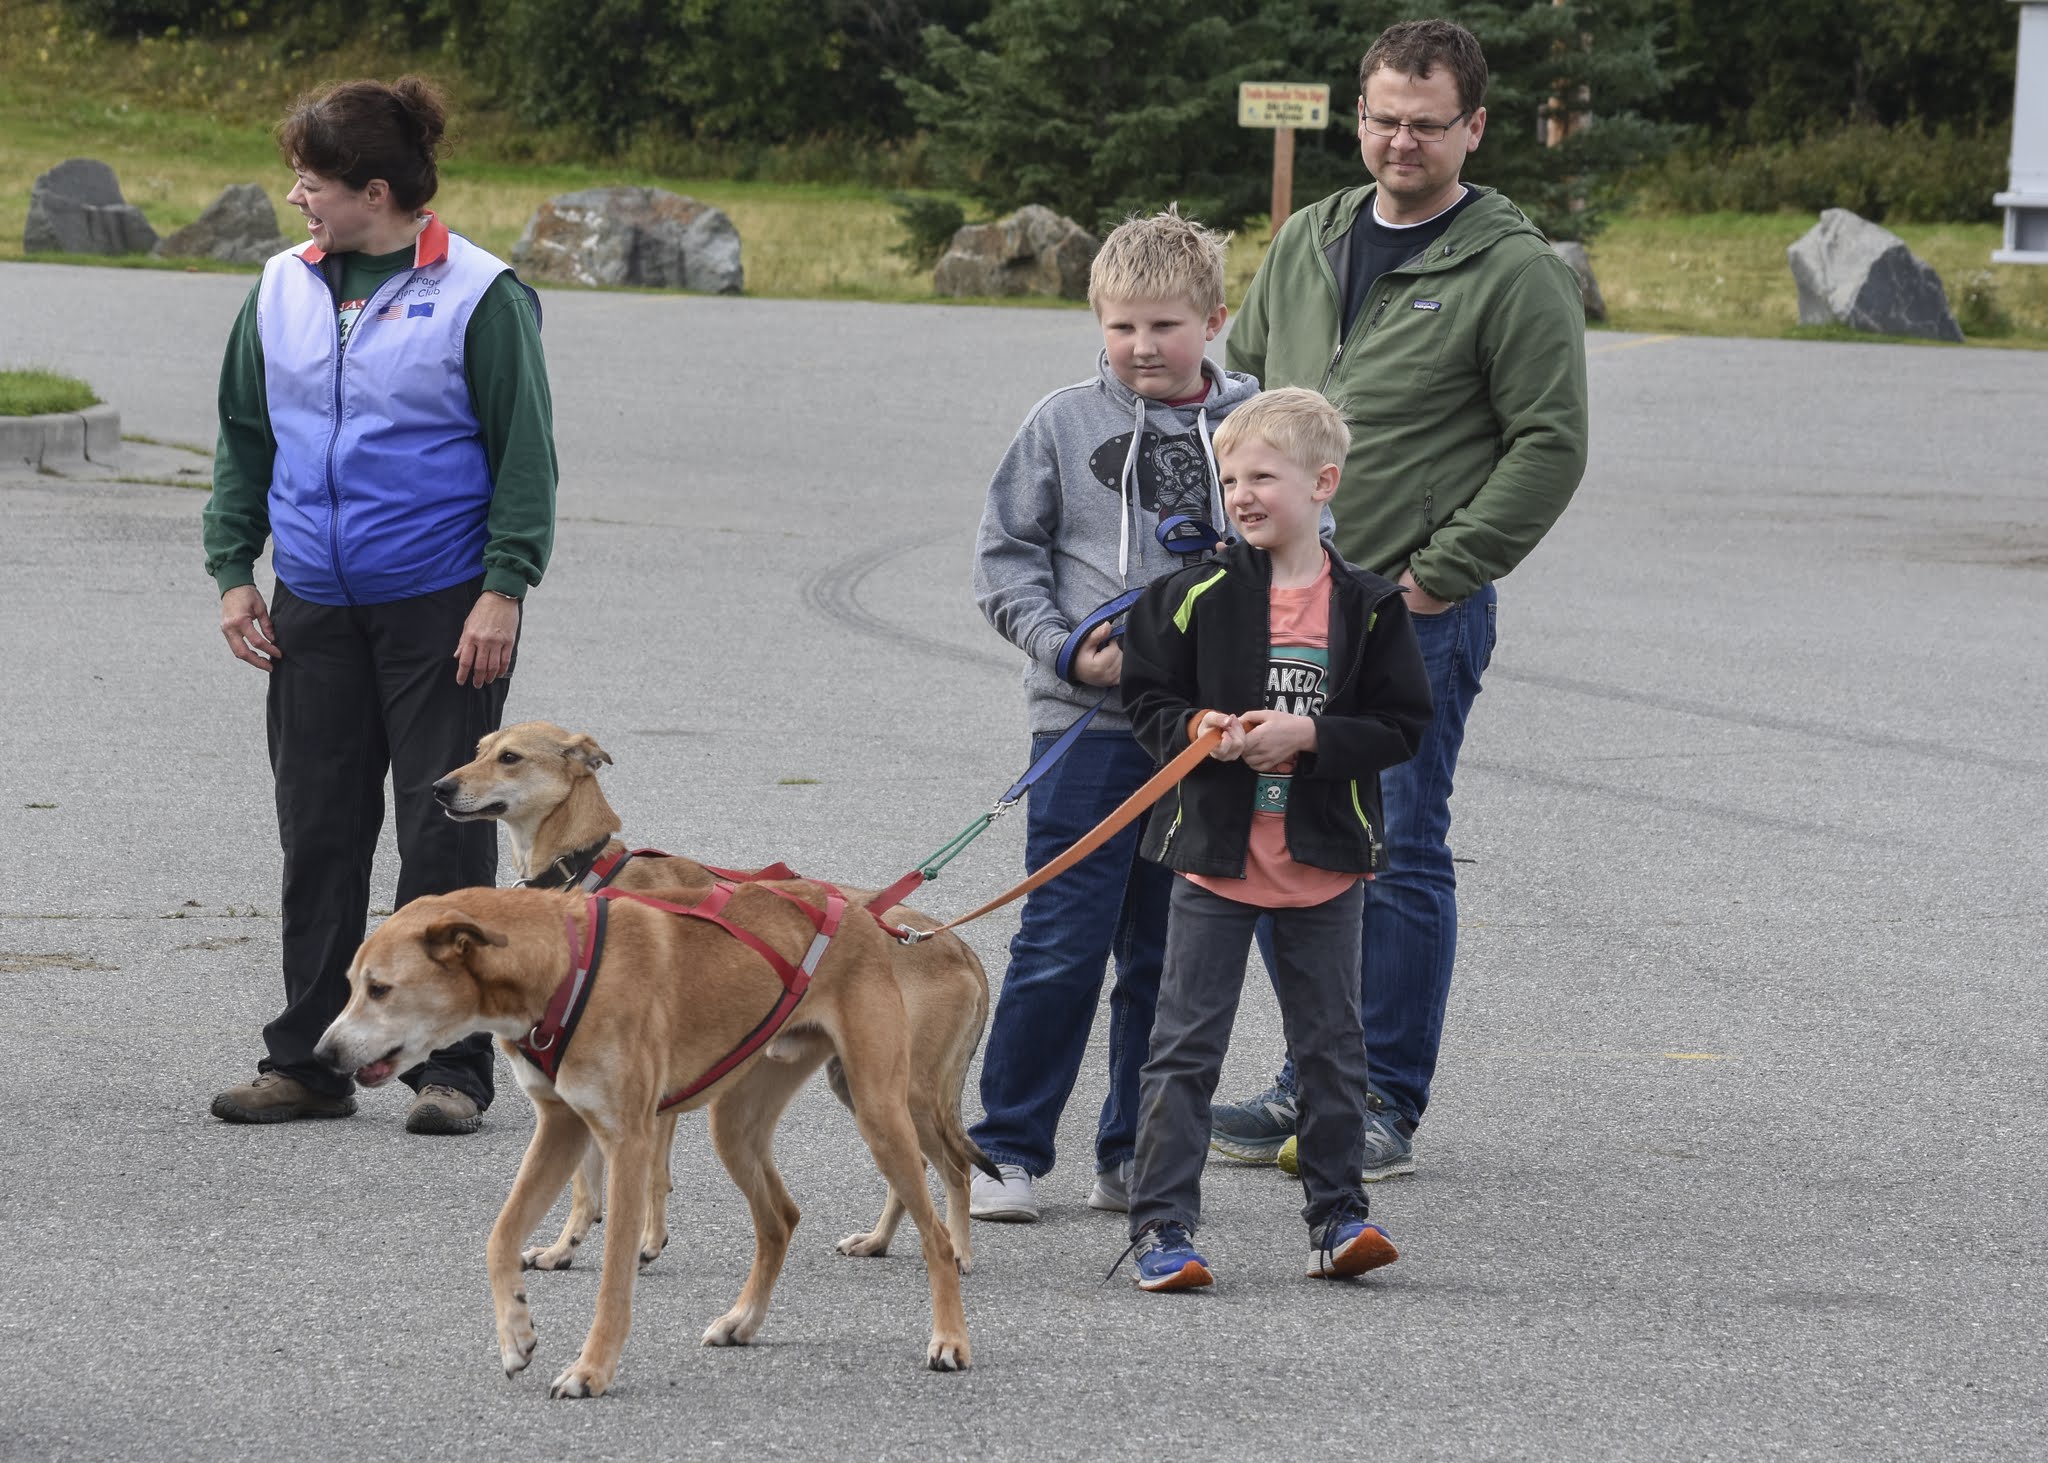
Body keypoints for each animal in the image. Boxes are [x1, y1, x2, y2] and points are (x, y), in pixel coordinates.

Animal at [319, 872, 974, 1393]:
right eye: (351, 984)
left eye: (379, 988)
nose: (323, 1054)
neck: (564, 966)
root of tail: (860, 911)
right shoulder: (561, 1128)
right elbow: (500, 1238)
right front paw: (516, 1334)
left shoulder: (627, 1144)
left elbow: (614, 1275)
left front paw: (591, 1370)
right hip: (734, 1125)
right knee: (780, 1219)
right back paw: (743, 1321)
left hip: (880, 1111)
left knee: (938, 1232)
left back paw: (950, 1338)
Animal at [425, 725, 991, 1270]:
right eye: (480, 749)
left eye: (510, 758)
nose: (440, 788)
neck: (586, 872)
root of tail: (954, 944)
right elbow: (587, 1182)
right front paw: (566, 1247)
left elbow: (647, 1176)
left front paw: (645, 1244)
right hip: (856, 1084)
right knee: (916, 1168)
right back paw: (879, 1241)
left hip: (904, 1091)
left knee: (954, 1166)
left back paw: (959, 1250)